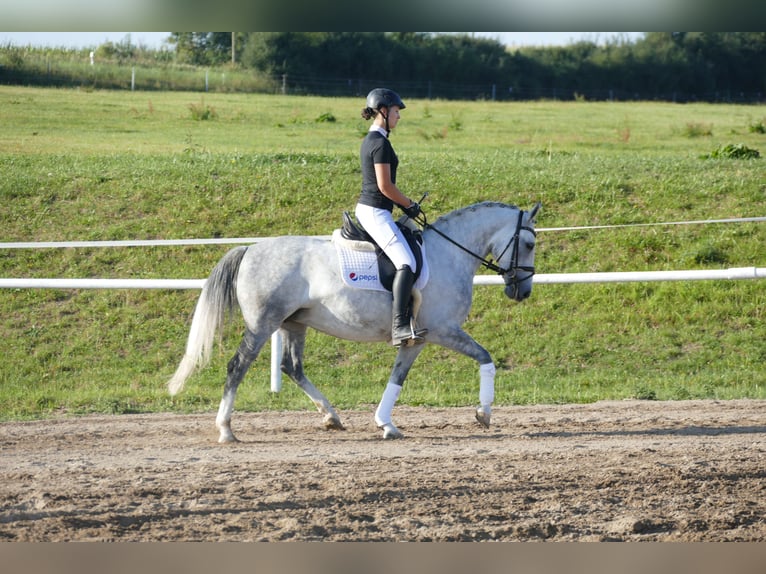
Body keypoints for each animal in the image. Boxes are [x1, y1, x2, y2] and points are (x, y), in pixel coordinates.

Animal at [170, 200, 540, 444]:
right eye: (529, 243)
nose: (522, 291)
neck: (450, 254)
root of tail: (249, 250)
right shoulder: (444, 330)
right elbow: (485, 357)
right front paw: (484, 413)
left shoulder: (416, 339)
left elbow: (397, 377)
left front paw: (386, 424)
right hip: (263, 324)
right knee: (238, 366)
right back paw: (226, 429)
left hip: (293, 323)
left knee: (292, 367)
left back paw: (331, 417)